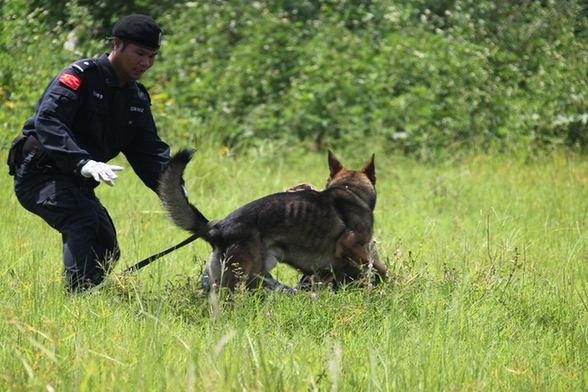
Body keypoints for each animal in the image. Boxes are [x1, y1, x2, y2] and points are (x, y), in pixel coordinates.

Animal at [157, 149, 386, 290]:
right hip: (246, 277)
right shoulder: (349, 246)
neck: (349, 189)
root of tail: (219, 228)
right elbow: (379, 266)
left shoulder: (324, 273)